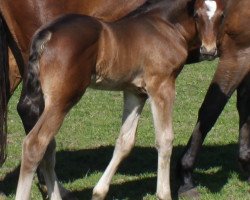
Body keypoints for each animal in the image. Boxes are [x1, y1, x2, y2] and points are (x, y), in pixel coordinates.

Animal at [15, 0, 223, 200]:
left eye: (221, 15)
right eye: (196, 14)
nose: (209, 50)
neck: (165, 25)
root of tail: (48, 33)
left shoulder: (135, 92)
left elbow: (125, 141)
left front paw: (99, 192)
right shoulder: (162, 86)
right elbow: (165, 138)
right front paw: (164, 194)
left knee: (48, 148)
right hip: (62, 101)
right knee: (35, 144)